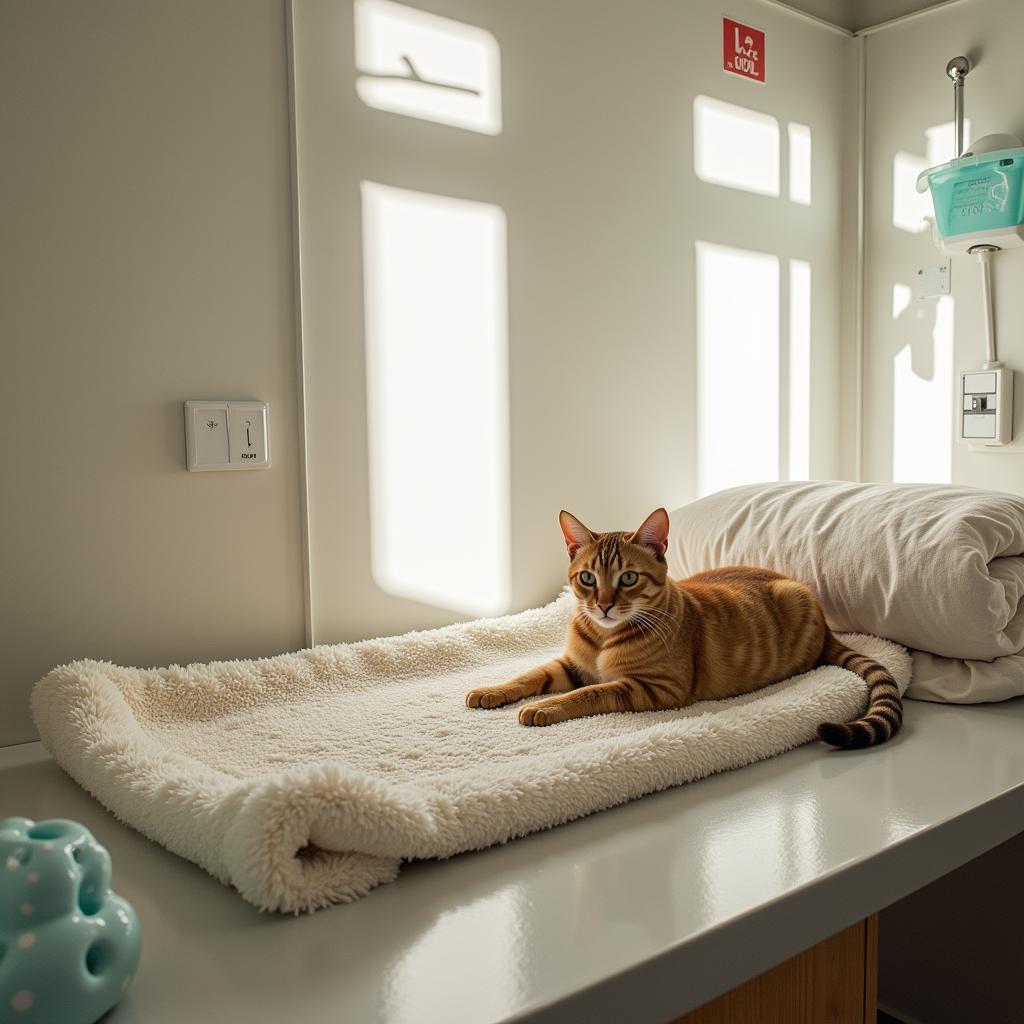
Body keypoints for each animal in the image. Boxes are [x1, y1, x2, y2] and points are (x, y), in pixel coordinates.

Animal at [466, 507, 905, 749]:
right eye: (587, 578)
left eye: (628, 578)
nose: (603, 605)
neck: (605, 637)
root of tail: (826, 623)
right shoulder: (572, 664)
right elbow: (528, 676)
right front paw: (491, 691)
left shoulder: (655, 687)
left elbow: (589, 693)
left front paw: (544, 707)